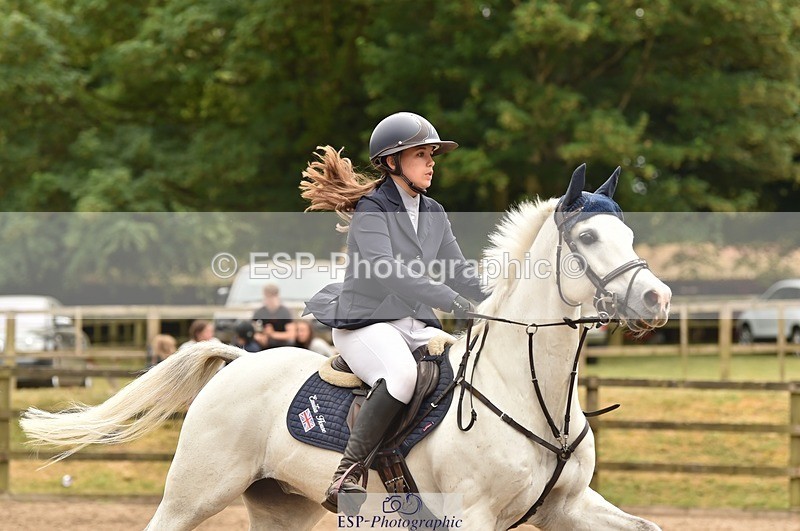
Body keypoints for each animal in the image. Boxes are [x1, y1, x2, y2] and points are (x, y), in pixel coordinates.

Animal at [21, 164, 671, 531]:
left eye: (628, 233)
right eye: (587, 238)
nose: (657, 299)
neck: (530, 392)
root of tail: (240, 363)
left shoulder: (567, 507)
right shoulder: (471, 516)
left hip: (281, 504)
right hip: (196, 492)